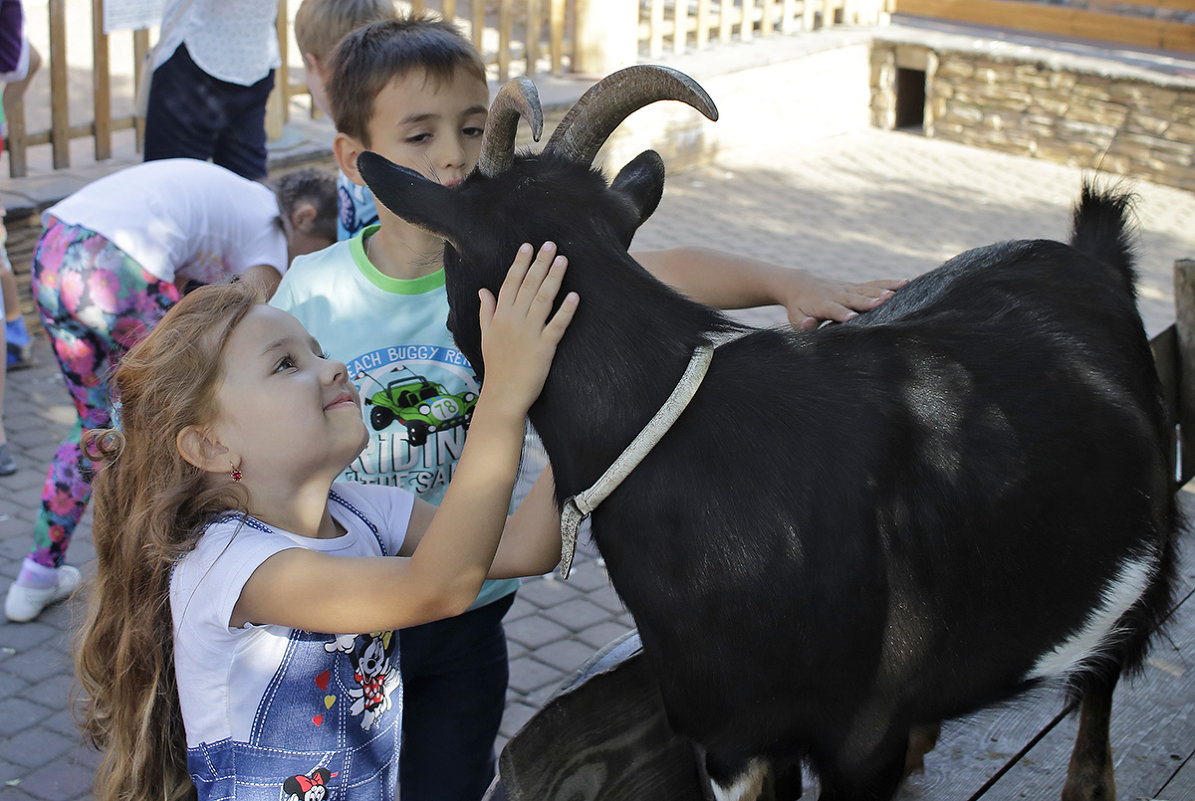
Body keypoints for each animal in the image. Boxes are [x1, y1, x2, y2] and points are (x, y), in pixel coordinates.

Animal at [358, 69, 1180, 801]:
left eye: (451, 258)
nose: (450, 324)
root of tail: (1093, 252)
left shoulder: (857, 737)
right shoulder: (730, 730)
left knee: (1106, 675)